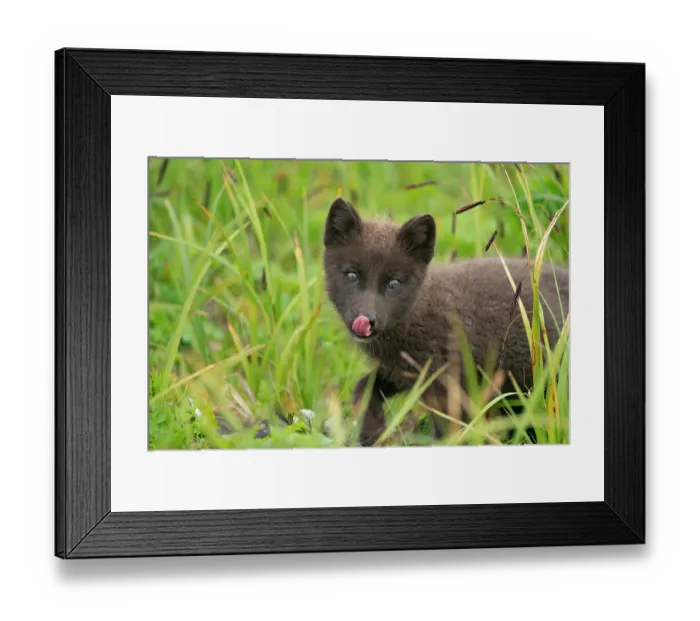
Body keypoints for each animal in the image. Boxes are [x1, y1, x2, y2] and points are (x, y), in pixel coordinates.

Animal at [322, 197, 569, 446]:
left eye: (394, 283)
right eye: (351, 275)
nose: (365, 320)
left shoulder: (448, 384)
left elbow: (448, 433)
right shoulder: (401, 373)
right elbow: (363, 386)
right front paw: (370, 432)